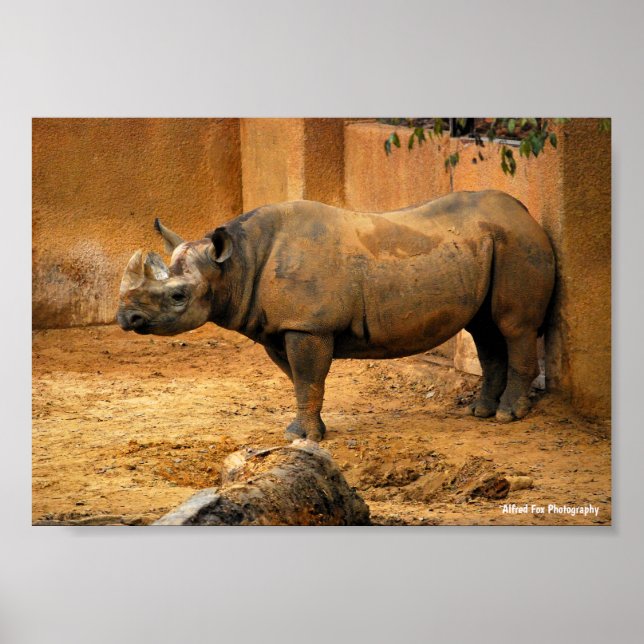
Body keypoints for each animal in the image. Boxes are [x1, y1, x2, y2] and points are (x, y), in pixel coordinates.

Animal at [117, 190, 555, 441]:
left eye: (178, 296)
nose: (126, 319)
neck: (237, 264)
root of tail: (526, 213)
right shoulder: (279, 325)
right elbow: (300, 381)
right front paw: (306, 430)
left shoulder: (308, 325)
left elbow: (309, 378)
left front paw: (305, 439)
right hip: (491, 243)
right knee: (484, 329)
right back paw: (481, 412)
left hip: (517, 244)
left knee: (513, 326)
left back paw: (507, 416)